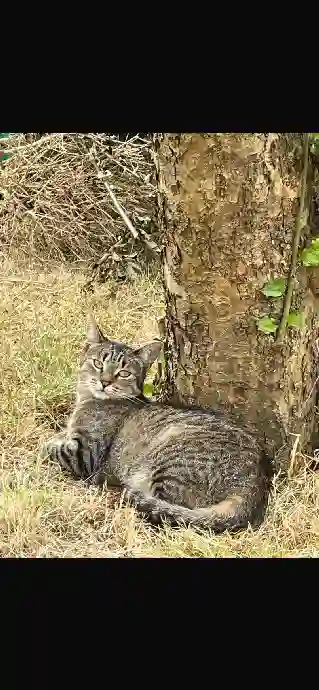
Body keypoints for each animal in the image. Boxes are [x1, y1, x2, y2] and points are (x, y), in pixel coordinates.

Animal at [44, 314, 270, 528]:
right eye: (98, 363)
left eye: (123, 373)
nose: (104, 382)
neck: (87, 400)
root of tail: (253, 484)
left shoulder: (85, 453)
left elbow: (50, 450)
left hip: (169, 463)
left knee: (163, 511)